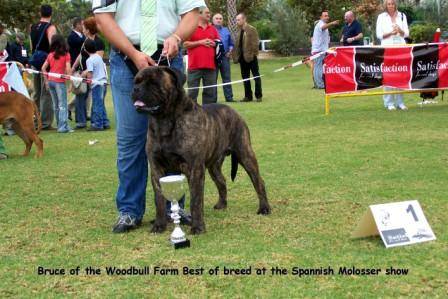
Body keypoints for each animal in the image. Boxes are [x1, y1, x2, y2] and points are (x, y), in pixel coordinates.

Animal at [130, 67, 270, 236]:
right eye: (136, 81)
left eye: (153, 83)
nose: (136, 89)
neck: (164, 120)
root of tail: (233, 111)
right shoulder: (157, 169)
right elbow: (159, 200)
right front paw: (159, 225)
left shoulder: (194, 168)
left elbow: (196, 200)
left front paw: (197, 227)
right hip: (214, 166)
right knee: (222, 181)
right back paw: (222, 204)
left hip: (245, 154)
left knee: (258, 181)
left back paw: (264, 208)